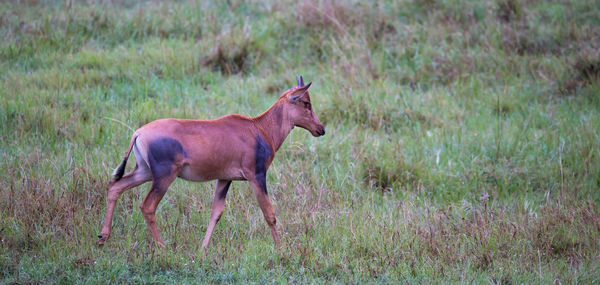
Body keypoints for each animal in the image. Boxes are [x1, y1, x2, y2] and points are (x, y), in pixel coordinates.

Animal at [96, 75, 326, 246]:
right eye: (306, 102)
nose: (320, 128)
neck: (258, 128)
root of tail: (138, 133)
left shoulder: (224, 178)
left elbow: (216, 212)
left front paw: (203, 249)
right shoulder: (257, 176)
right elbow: (269, 212)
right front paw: (281, 248)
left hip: (144, 171)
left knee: (116, 186)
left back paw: (103, 236)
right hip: (163, 176)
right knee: (147, 206)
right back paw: (162, 247)